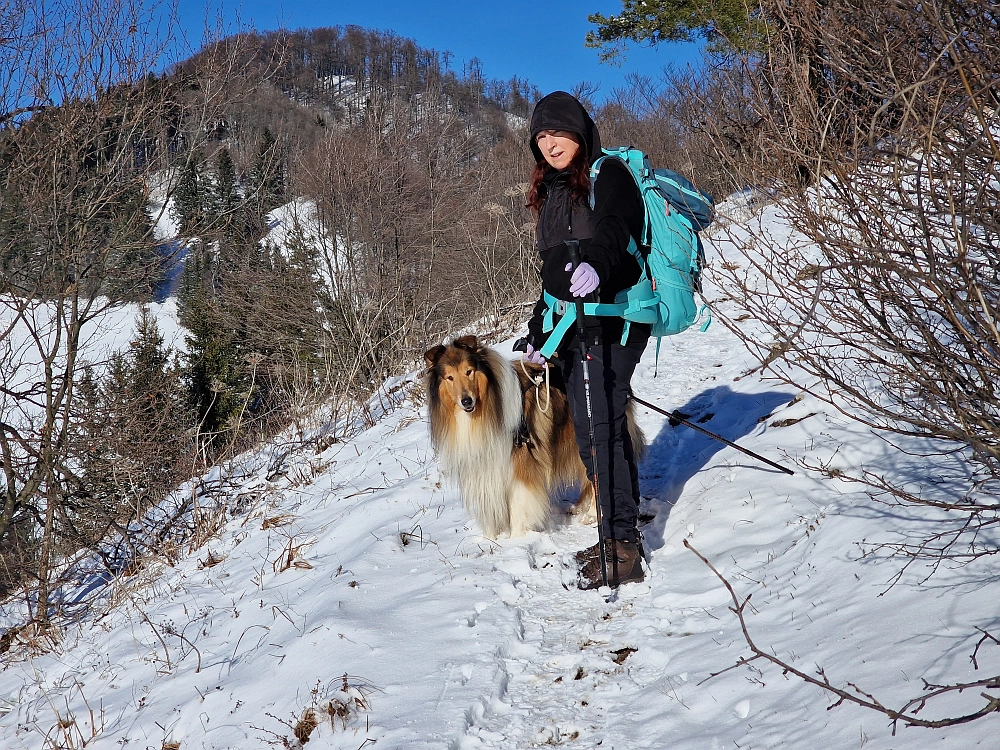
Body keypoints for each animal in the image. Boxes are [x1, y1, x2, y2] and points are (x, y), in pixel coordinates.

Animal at [422, 336, 592, 540]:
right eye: (449, 377)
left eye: (469, 371)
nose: (466, 401)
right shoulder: (483, 466)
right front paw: (489, 539)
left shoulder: (521, 464)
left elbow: (519, 505)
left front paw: (516, 540)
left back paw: (591, 516)